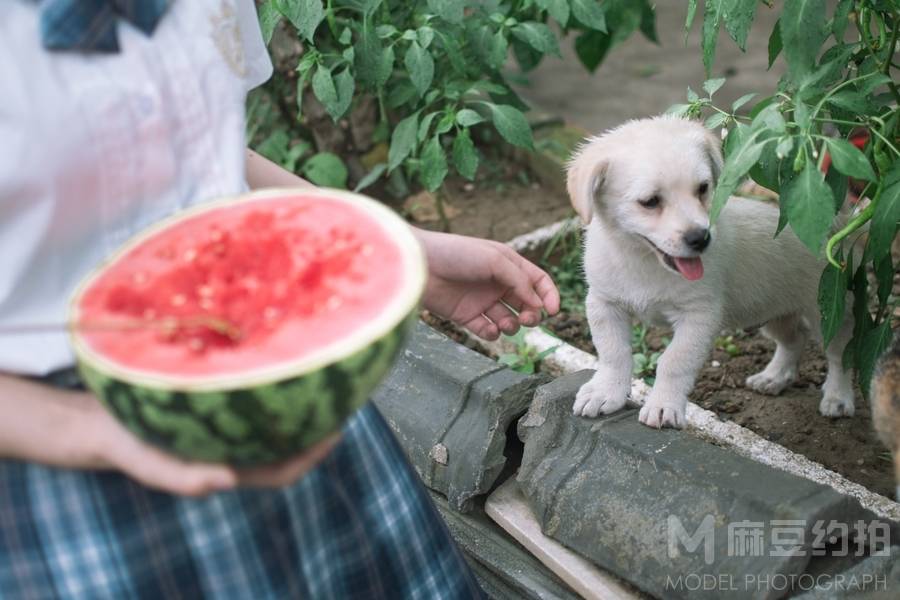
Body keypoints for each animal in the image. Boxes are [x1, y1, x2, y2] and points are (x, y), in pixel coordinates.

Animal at [568, 115, 856, 428]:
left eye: (703, 188)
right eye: (650, 201)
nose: (700, 238)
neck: (644, 261)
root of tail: (838, 227)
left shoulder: (699, 315)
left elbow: (673, 361)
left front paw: (663, 404)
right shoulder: (604, 303)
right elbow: (613, 353)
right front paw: (605, 391)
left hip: (828, 315)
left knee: (839, 356)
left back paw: (838, 397)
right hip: (775, 313)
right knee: (794, 340)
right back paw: (774, 377)